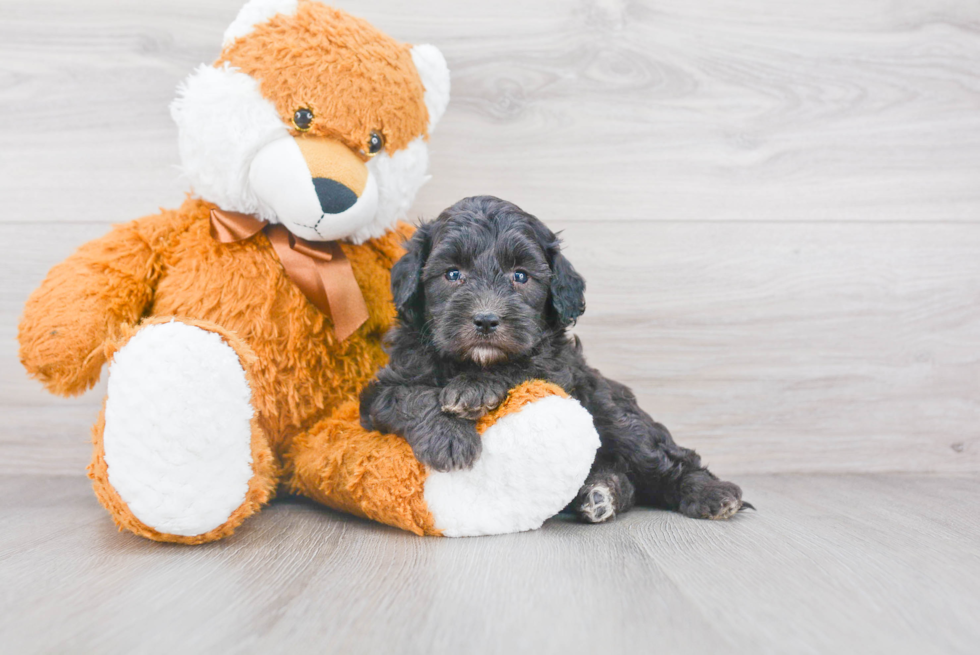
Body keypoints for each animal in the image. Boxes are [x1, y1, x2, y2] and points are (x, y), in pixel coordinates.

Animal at [362, 195, 752, 524]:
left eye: (520, 276)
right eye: (453, 274)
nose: (486, 320)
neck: (470, 361)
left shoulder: (558, 369)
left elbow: (523, 365)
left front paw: (474, 389)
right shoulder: (378, 392)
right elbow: (410, 395)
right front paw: (449, 438)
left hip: (613, 412)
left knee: (662, 457)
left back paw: (710, 492)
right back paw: (600, 494)